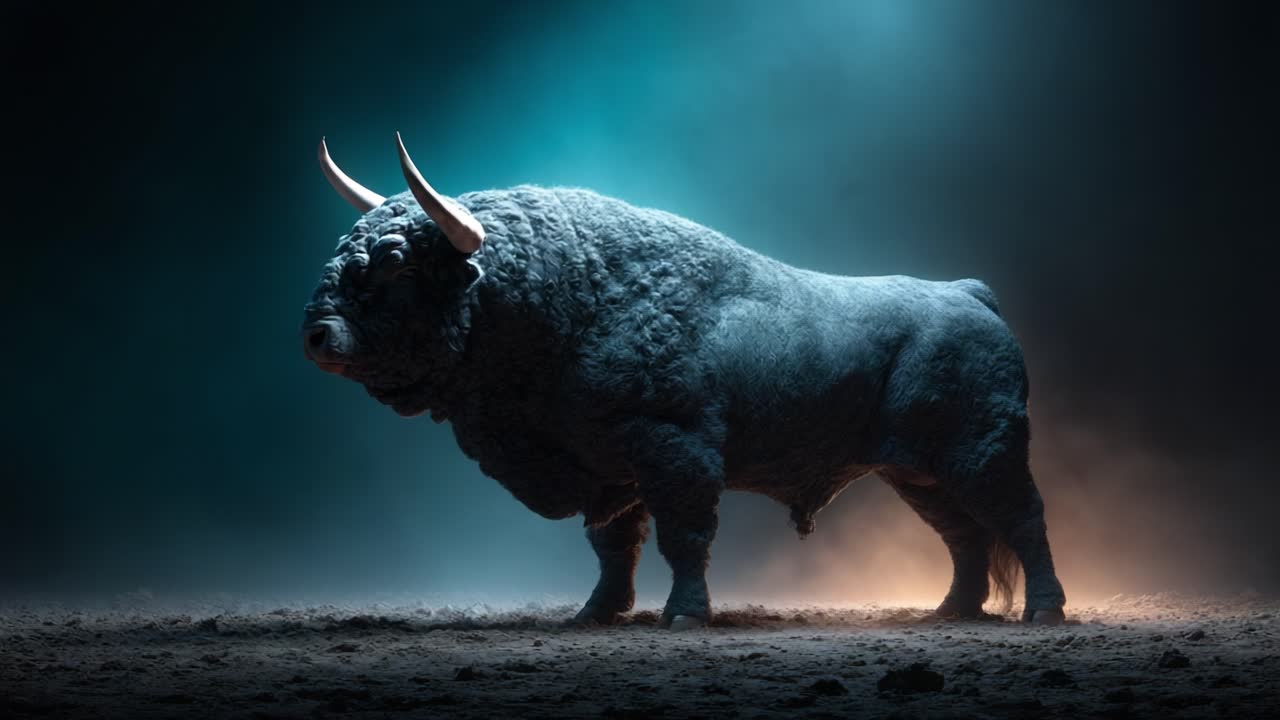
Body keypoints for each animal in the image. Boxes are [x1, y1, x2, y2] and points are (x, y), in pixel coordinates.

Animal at [301, 134, 1067, 629]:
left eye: (394, 262)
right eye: (342, 249)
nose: (317, 333)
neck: (573, 293)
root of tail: (968, 294)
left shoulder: (672, 452)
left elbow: (684, 538)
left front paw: (684, 616)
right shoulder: (611, 469)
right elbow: (614, 546)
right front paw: (593, 614)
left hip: (982, 455)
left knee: (1021, 518)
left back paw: (1043, 610)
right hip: (918, 473)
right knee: (965, 536)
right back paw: (951, 611)